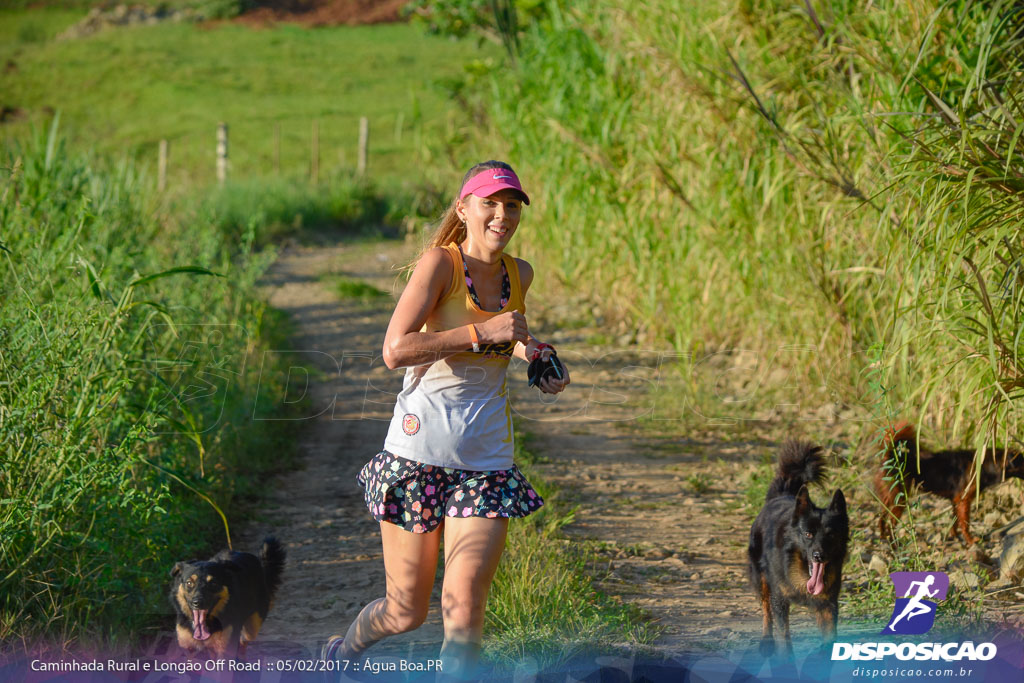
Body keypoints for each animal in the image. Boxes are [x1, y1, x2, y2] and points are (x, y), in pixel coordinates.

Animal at [745, 440, 847, 659]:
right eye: (808, 534)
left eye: (831, 535)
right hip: (761, 578)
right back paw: (766, 641)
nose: (818, 556)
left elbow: (829, 639)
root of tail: (781, 496)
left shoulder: (828, 604)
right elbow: (784, 636)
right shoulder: (780, 600)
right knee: (765, 609)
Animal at [872, 421, 1024, 544]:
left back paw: (883, 537)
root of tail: (890, 456)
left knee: (882, 518)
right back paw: (895, 543)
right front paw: (970, 541)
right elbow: (965, 523)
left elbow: (955, 521)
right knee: (891, 522)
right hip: (900, 499)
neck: (986, 464)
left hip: (889, 498)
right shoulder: (963, 500)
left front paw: (955, 536)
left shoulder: (956, 501)